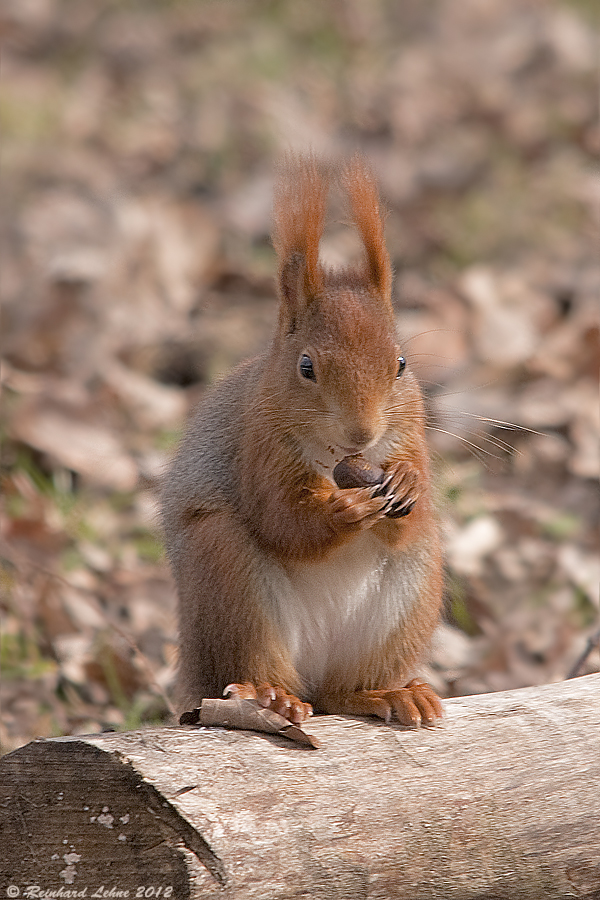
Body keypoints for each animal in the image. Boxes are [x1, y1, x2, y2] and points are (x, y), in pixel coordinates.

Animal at [162, 155, 442, 728]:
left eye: (401, 364)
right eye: (306, 367)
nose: (362, 432)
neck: (342, 460)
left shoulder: (411, 436)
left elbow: (412, 509)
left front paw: (407, 481)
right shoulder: (259, 448)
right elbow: (281, 520)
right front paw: (343, 510)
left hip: (412, 594)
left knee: (340, 693)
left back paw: (385, 694)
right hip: (226, 575)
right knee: (264, 669)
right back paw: (273, 697)